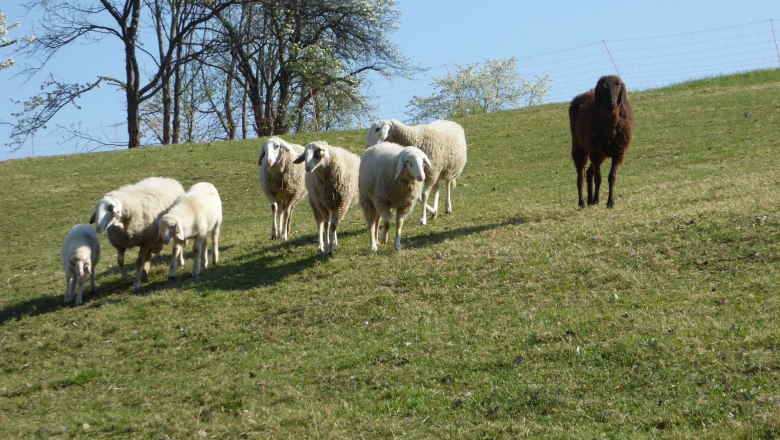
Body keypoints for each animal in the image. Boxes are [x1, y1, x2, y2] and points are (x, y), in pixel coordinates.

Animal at [569, 75, 635, 209]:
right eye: (603, 86)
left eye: (618, 85)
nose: (612, 103)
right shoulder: (594, 152)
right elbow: (598, 178)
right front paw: (597, 200)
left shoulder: (619, 153)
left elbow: (612, 177)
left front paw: (610, 202)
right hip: (580, 147)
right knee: (581, 175)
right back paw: (582, 202)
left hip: (601, 153)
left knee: (589, 172)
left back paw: (590, 200)